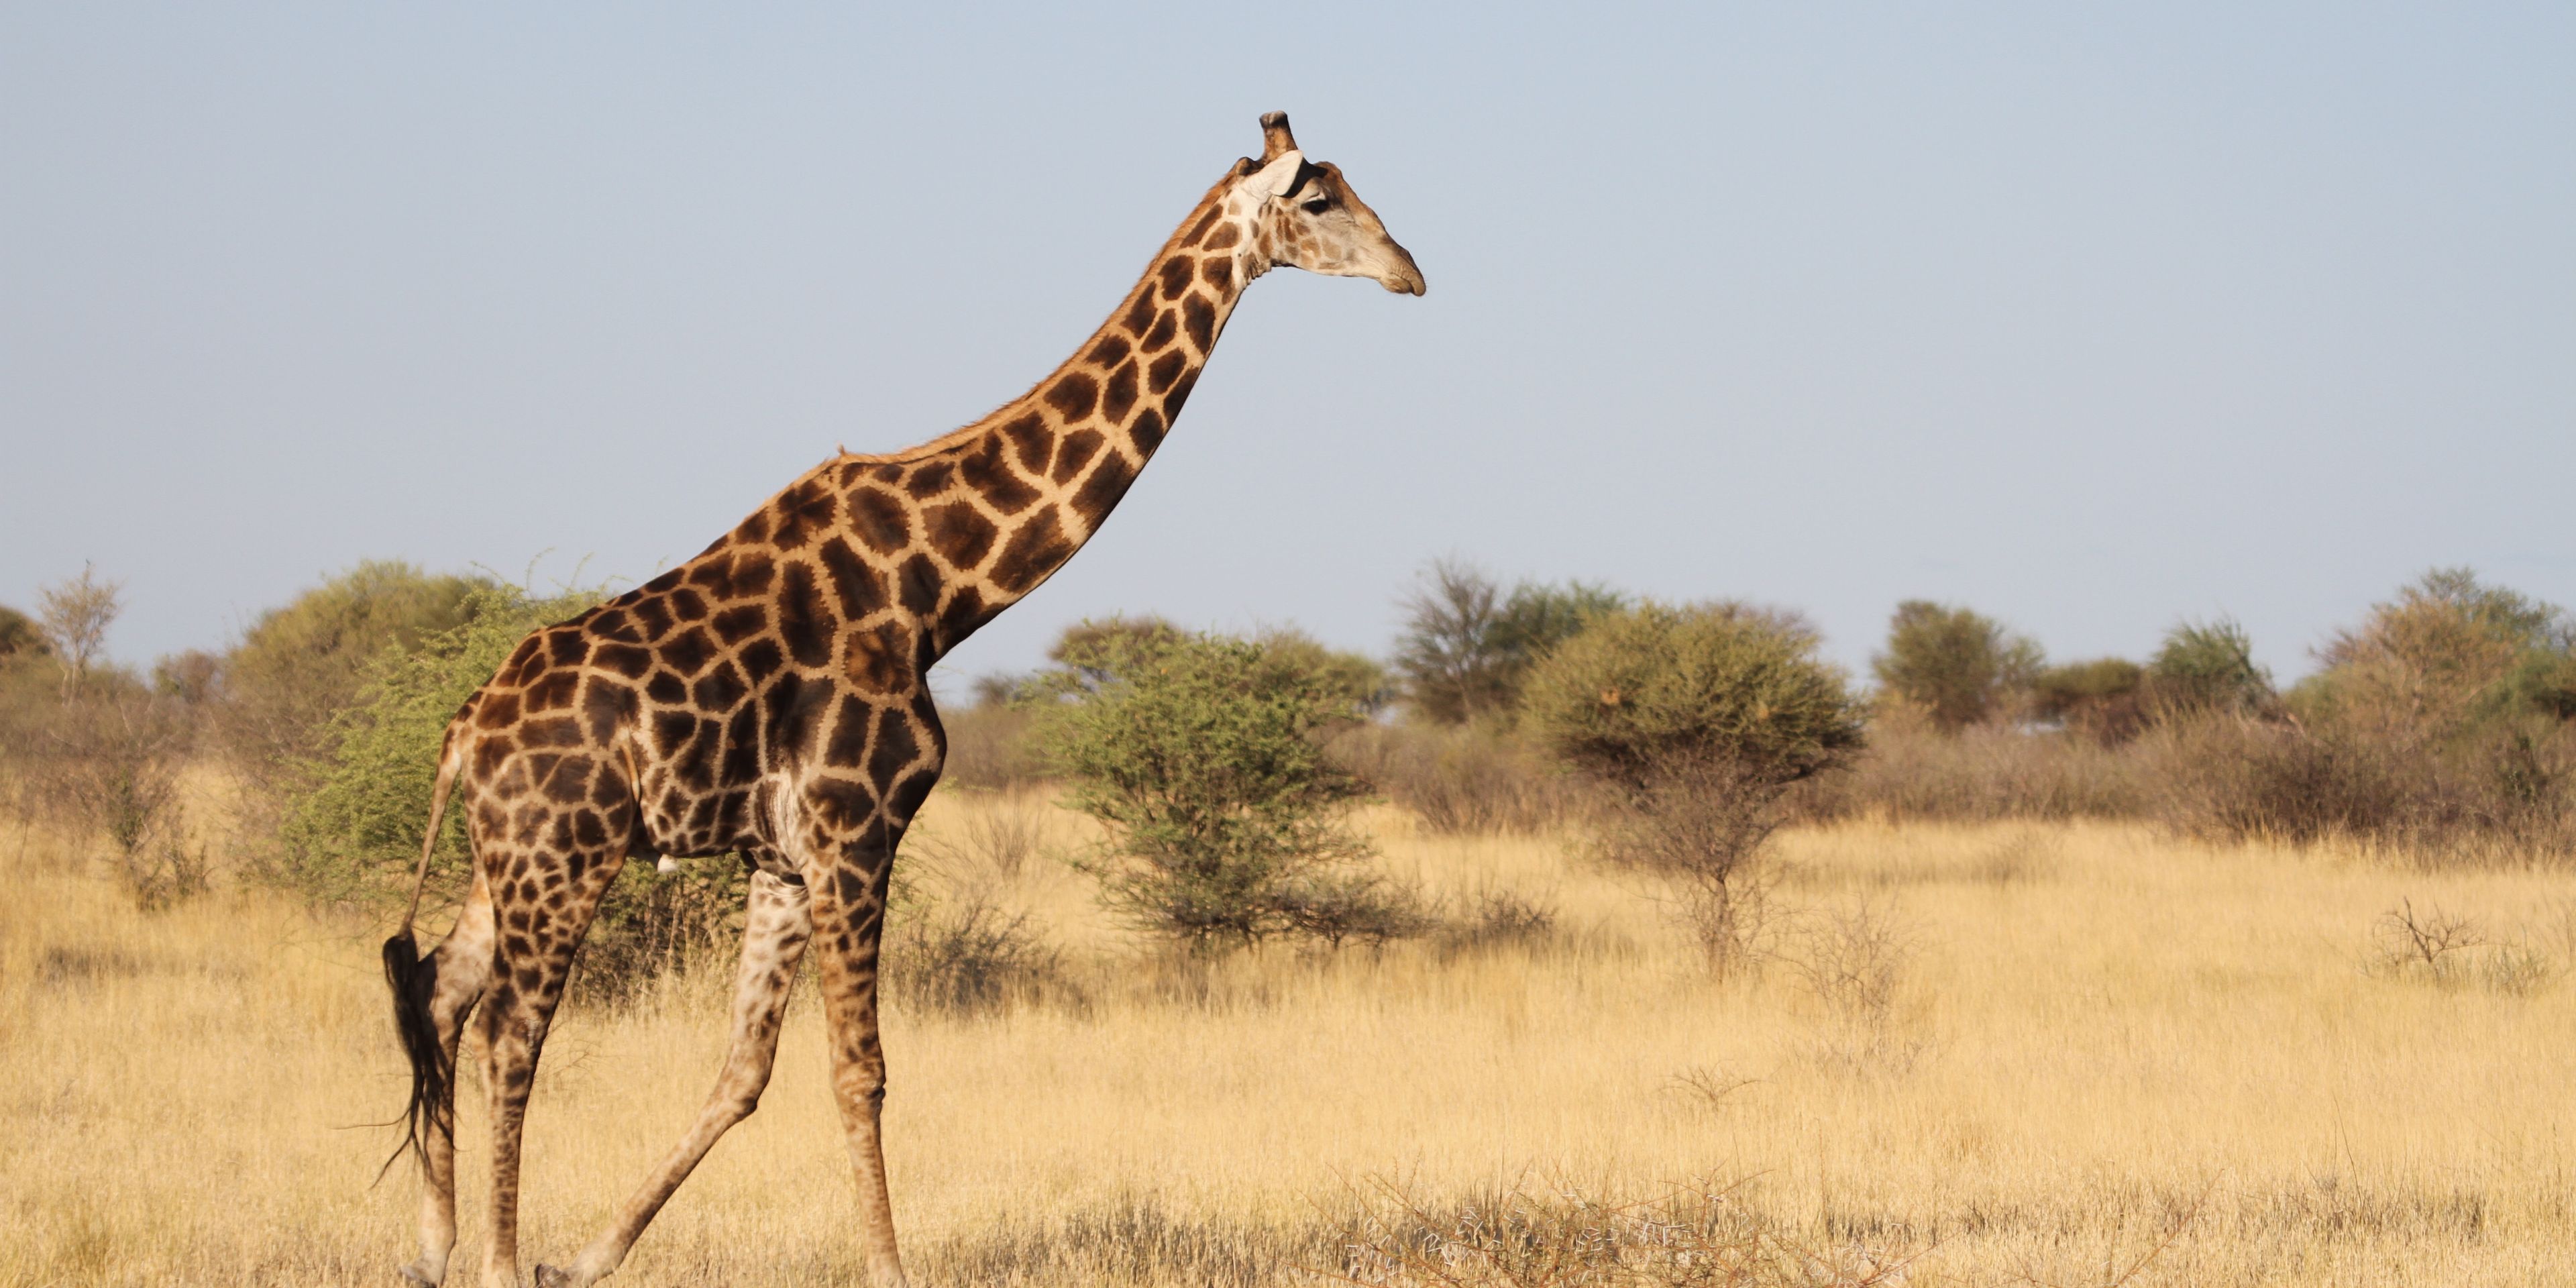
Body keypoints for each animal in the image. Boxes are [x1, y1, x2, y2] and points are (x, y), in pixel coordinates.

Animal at [379, 111, 1424, 1288]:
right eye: (1322, 200)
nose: (1411, 272)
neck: (941, 590)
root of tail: (462, 735)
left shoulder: (784, 857)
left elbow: (745, 1071)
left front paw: (591, 1256)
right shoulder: (857, 827)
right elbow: (860, 1071)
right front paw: (886, 1267)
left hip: (502, 862)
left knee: (439, 993)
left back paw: (437, 1248)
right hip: (566, 856)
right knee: (512, 1031)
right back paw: (495, 1262)